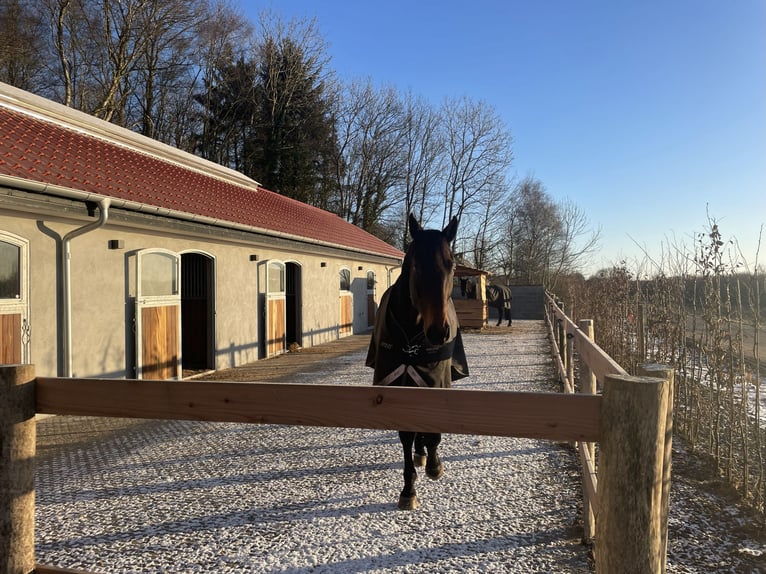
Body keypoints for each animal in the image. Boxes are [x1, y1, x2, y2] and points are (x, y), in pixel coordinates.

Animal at [366, 213, 469, 510]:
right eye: (415, 265)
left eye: (451, 264)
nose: (438, 331)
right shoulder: (397, 384)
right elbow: (406, 433)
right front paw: (408, 489)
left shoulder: (436, 382)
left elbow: (433, 430)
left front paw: (434, 465)